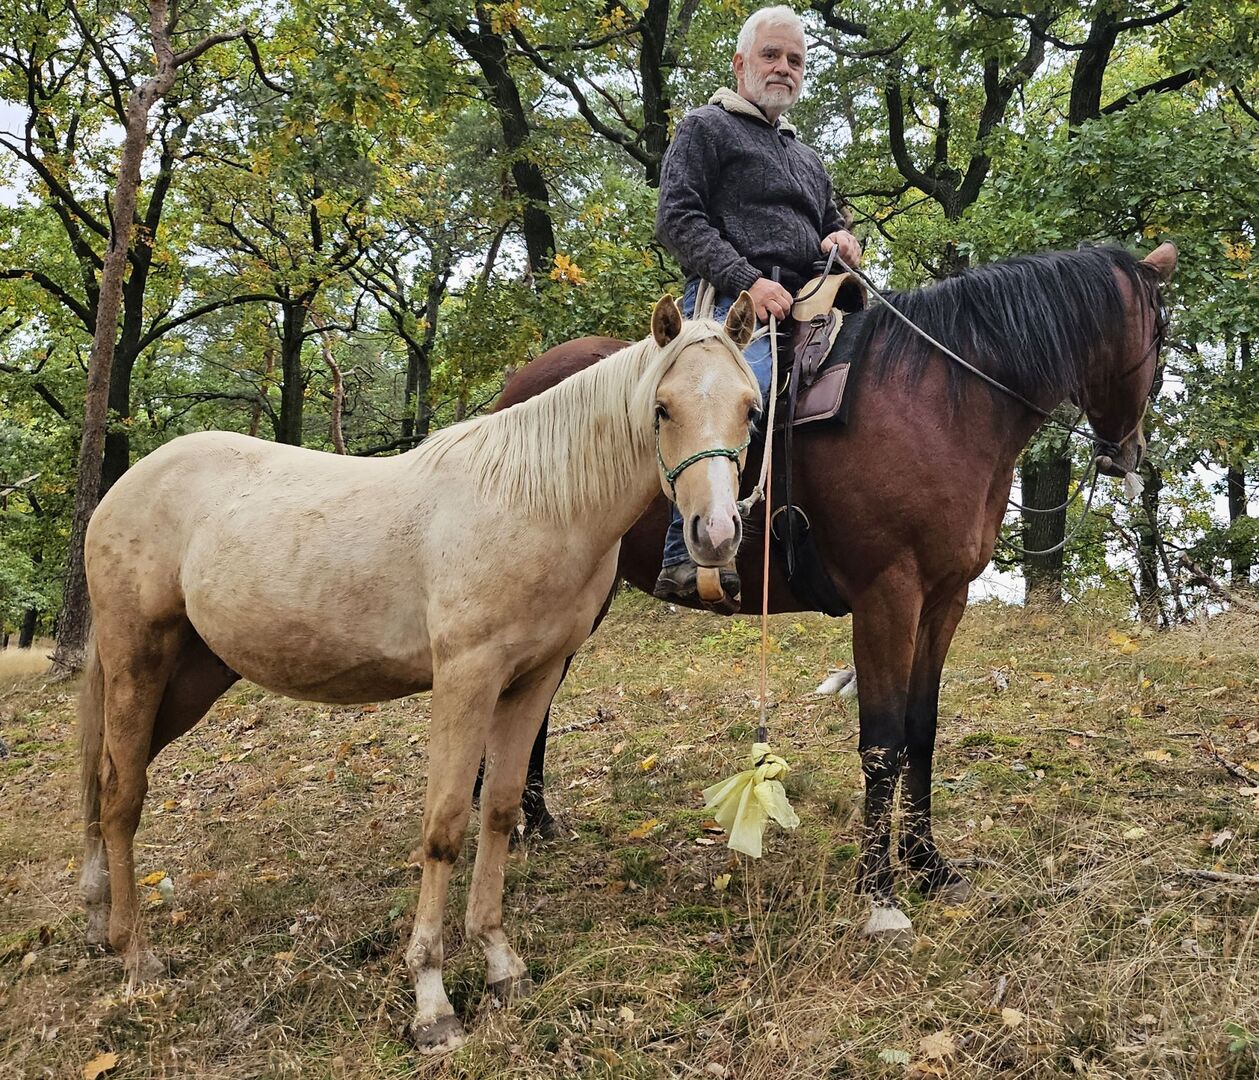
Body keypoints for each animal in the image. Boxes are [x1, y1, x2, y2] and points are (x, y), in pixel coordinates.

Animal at [78, 295, 761, 1052]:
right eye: (663, 408)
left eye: (750, 409)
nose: (716, 535)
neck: (533, 501)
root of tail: (125, 488)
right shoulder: (466, 677)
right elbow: (444, 827)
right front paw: (432, 1001)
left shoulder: (533, 678)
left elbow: (499, 810)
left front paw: (499, 964)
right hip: (139, 658)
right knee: (123, 794)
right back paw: (135, 955)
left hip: (193, 677)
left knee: (105, 781)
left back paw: (100, 917)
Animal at [497, 244, 1177, 938]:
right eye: (1161, 335)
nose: (1128, 453)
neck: (943, 403)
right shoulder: (887, 597)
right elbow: (882, 742)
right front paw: (879, 892)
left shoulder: (943, 600)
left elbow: (920, 730)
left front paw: (928, 866)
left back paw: (534, 819)